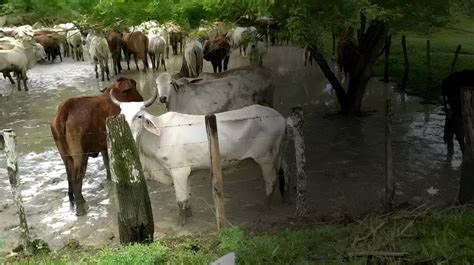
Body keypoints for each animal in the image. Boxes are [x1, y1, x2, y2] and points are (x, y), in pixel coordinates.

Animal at [51, 76, 156, 214]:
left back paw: (73, 201)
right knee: (77, 179)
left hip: (65, 156)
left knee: (69, 177)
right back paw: (81, 206)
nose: (142, 98)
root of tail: (66, 108)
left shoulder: (104, 147)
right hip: (80, 156)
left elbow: (107, 167)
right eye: (134, 85)